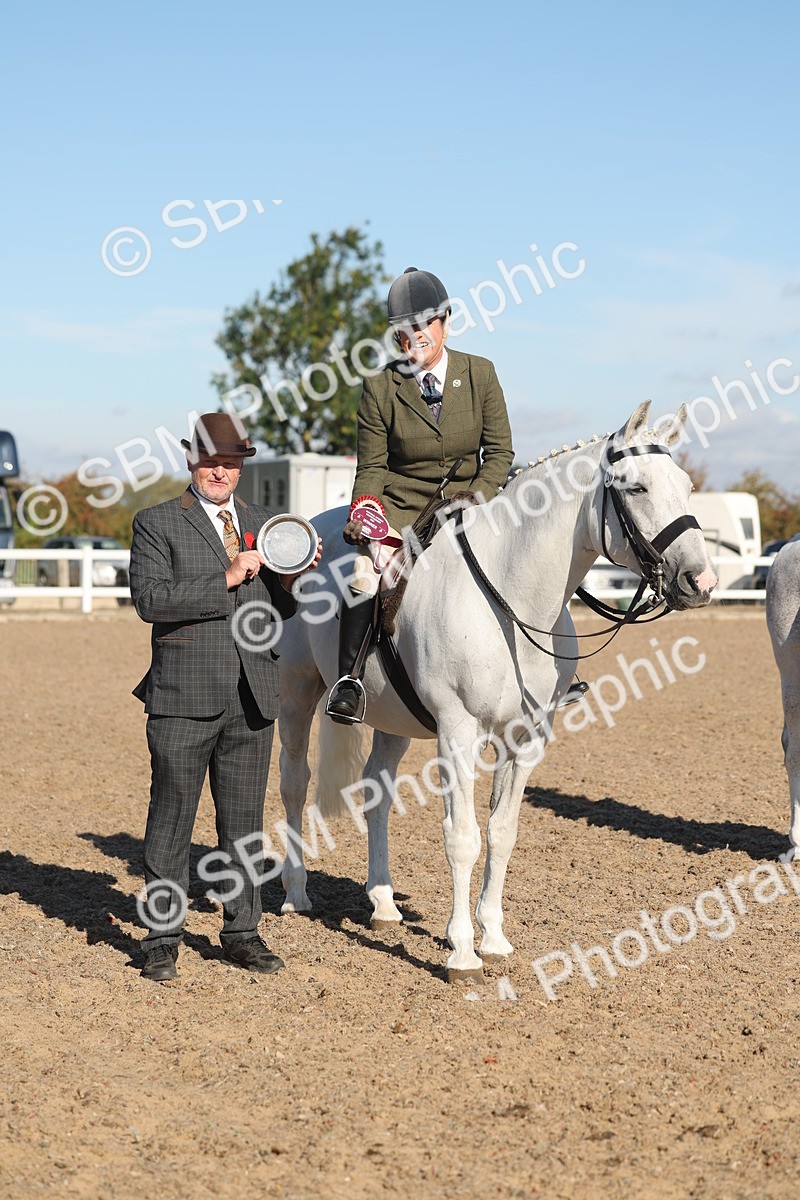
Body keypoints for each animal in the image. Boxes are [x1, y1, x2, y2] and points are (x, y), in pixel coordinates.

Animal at [276, 400, 718, 979]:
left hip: (395, 720)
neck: (511, 596)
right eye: (637, 487)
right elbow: (462, 837)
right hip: (296, 693)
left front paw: (494, 937)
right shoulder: (457, 733)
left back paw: (383, 904)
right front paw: (463, 951)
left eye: (687, 486)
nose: (700, 582)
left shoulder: (525, 740)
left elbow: (502, 833)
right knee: (293, 784)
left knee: (377, 795)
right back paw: (295, 894)